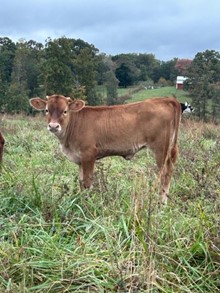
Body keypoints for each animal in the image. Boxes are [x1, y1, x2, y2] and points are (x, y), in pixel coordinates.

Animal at [30, 94, 182, 202]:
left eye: (65, 111)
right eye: (46, 110)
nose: (53, 126)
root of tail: (166, 99)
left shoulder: (89, 154)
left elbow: (87, 182)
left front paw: (87, 204)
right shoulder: (80, 159)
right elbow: (81, 182)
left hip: (161, 149)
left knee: (165, 174)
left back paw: (160, 204)